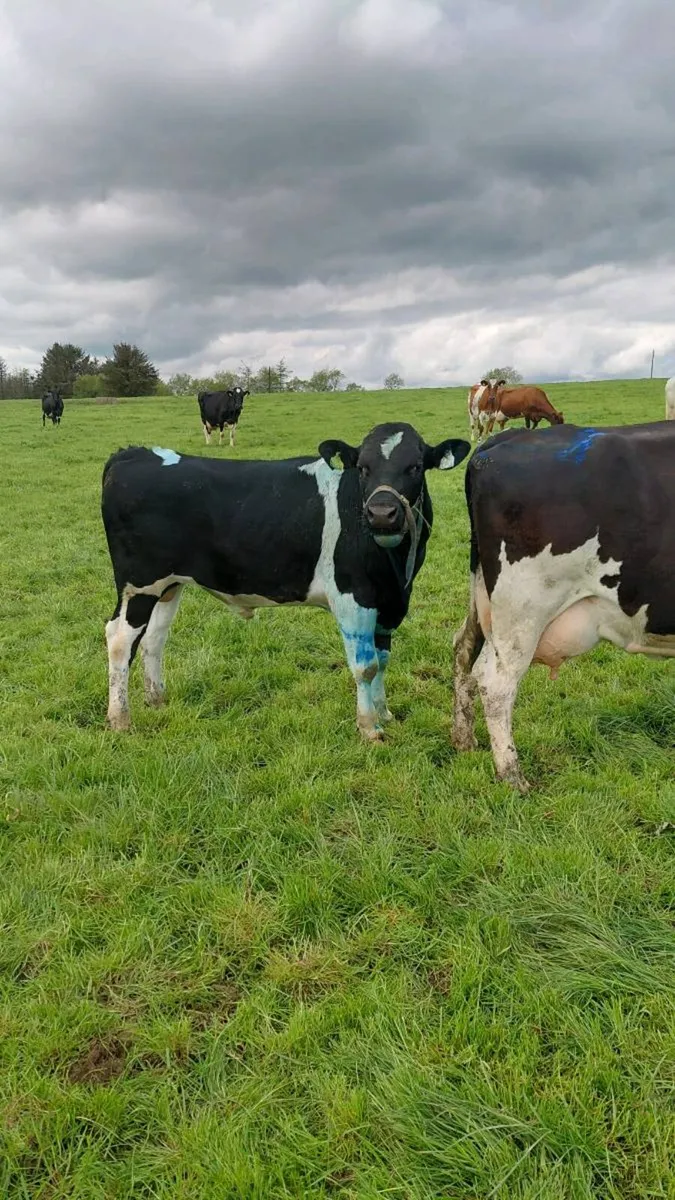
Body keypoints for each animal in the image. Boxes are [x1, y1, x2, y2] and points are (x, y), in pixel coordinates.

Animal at [101, 422, 470, 738]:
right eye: (363, 467)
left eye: (416, 466)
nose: (382, 514)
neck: (393, 564)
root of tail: (133, 453)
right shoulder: (353, 597)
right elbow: (365, 666)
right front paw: (369, 728)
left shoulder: (391, 602)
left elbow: (382, 660)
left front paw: (384, 714)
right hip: (140, 584)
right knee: (119, 638)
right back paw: (120, 719)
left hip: (168, 584)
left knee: (154, 638)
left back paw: (157, 700)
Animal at [451, 421, 675, 792]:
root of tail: (504, 439)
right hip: (522, 609)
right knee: (495, 682)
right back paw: (512, 776)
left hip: (483, 600)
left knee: (463, 652)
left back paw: (463, 741)